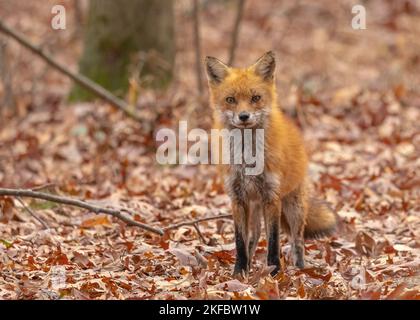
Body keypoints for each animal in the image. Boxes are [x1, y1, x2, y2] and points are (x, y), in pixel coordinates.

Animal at [205, 51, 336, 276]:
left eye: (255, 98)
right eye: (230, 100)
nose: (244, 116)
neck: (247, 157)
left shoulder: (271, 196)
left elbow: (274, 240)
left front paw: (274, 272)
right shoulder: (237, 199)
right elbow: (240, 241)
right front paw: (240, 271)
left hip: (293, 207)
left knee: (297, 240)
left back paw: (300, 268)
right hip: (254, 207)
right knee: (254, 237)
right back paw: (250, 266)